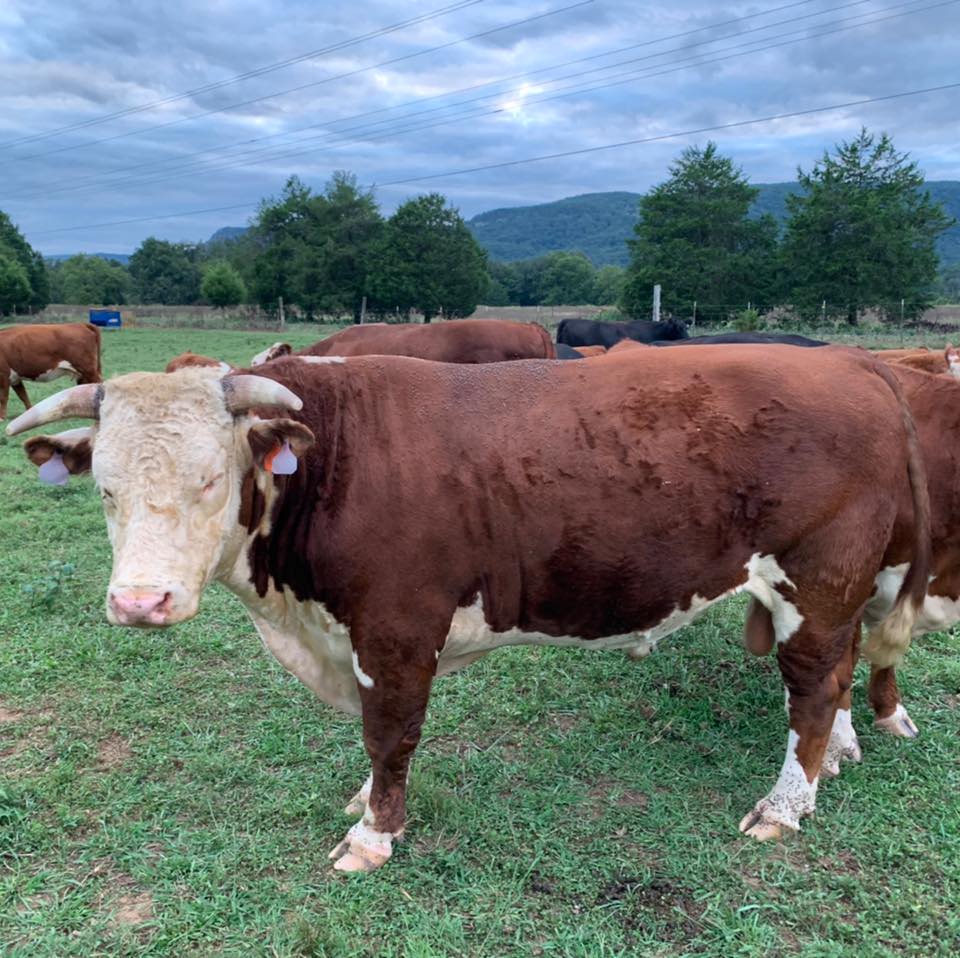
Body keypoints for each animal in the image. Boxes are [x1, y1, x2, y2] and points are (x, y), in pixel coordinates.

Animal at [8, 345, 929, 872]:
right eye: (104, 488)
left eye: (209, 479)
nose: (141, 602)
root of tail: (855, 364)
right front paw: (363, 803)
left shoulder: (395, 630)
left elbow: (390, 735)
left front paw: (375, 835)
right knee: (838, 675)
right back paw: (834, 761)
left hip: (819, 580)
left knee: (813, 689)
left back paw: (785, 807)